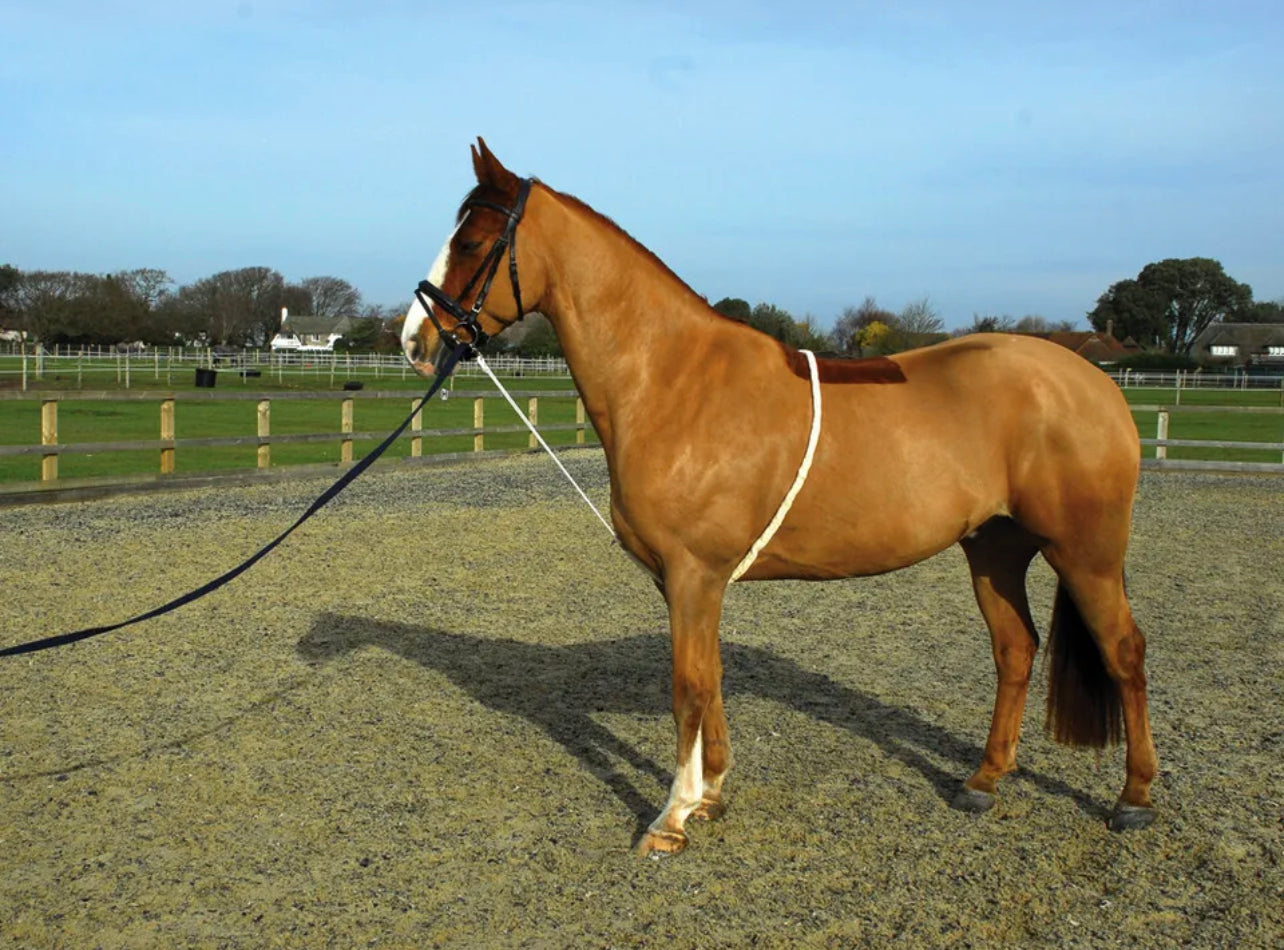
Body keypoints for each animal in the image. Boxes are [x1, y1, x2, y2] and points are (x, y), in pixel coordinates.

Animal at [398, 137, 1155, 857]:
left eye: (471, 243)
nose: (415, 340)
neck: (673, 381)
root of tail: (1095, 382)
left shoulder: (693, 573)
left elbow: (688, 688)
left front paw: (670, 820)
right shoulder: (687, 583)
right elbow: (710, 678)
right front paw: (710, 796)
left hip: (1084, 552)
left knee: (1124, 651)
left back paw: (1135, 799)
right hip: (994, 548)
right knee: (1015, 651)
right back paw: (984, 781)